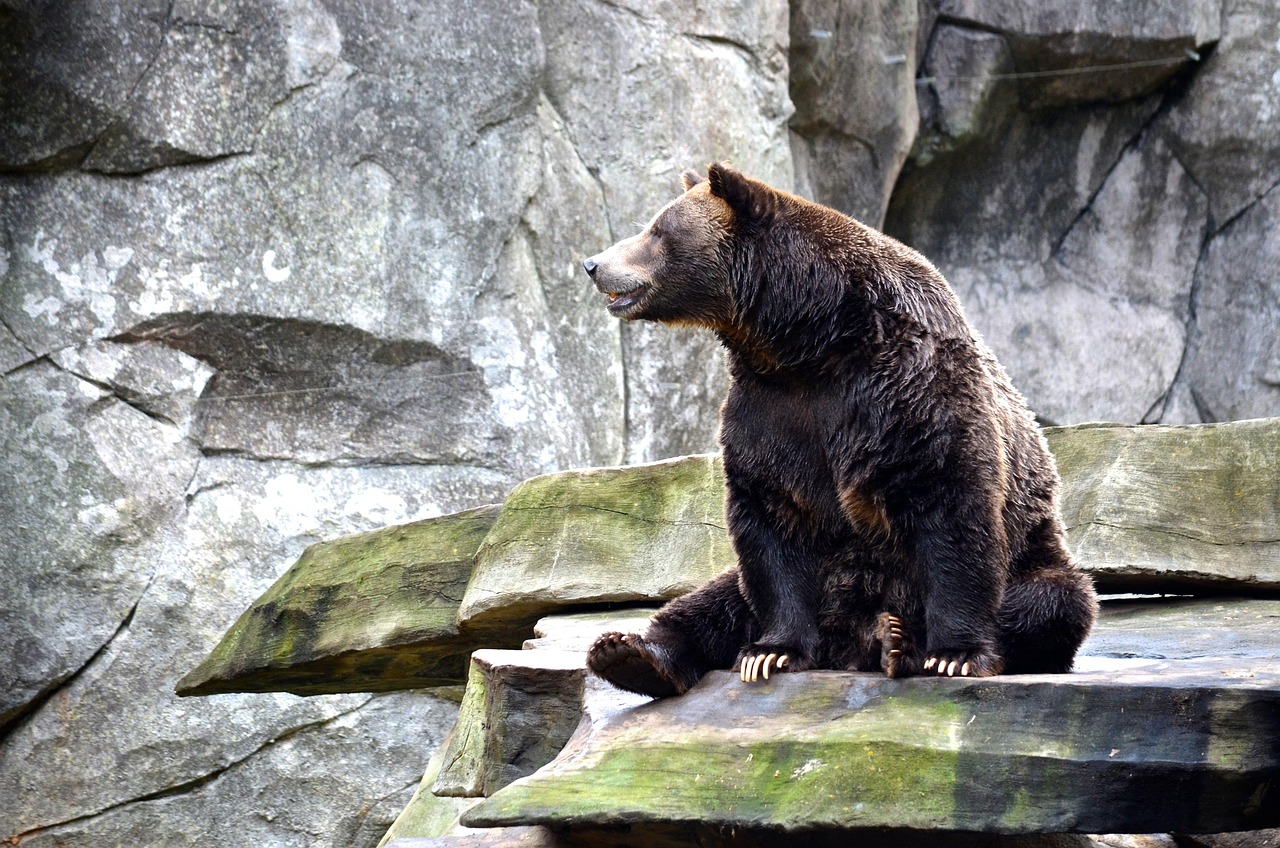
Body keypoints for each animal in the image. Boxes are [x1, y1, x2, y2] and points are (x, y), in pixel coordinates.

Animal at [581, 163, 1097, 698]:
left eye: (657, 231)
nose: (593, 264)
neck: (813, 340)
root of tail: (847, 645)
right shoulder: (770, 411)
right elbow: (769, 521)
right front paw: (771, 651)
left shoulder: (908, 388)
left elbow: (951, 501)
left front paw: (955, 655)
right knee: (714, 600)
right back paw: (630, 652)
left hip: (1034, 555)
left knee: (1050, 603)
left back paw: (901, 640)